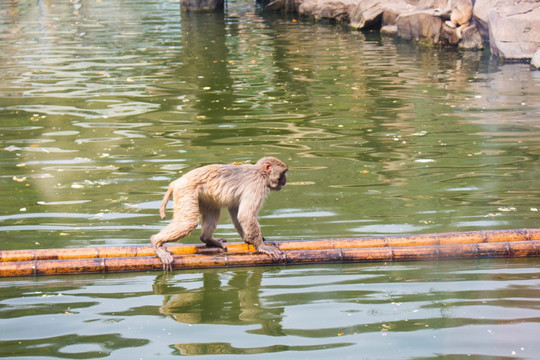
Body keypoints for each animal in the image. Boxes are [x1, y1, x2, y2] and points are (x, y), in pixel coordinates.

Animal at [150, 157, 288, 270]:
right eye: (283, 173)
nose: (286, 181)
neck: (261, 173)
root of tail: (177, 181)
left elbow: (235, 210)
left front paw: (247, 239)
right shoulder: (257, 185)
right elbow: (245, 215)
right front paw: (261, 246)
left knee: (213, 210)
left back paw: (206, 238)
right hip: (186, 191)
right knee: (188, 222)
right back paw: (156, 242)